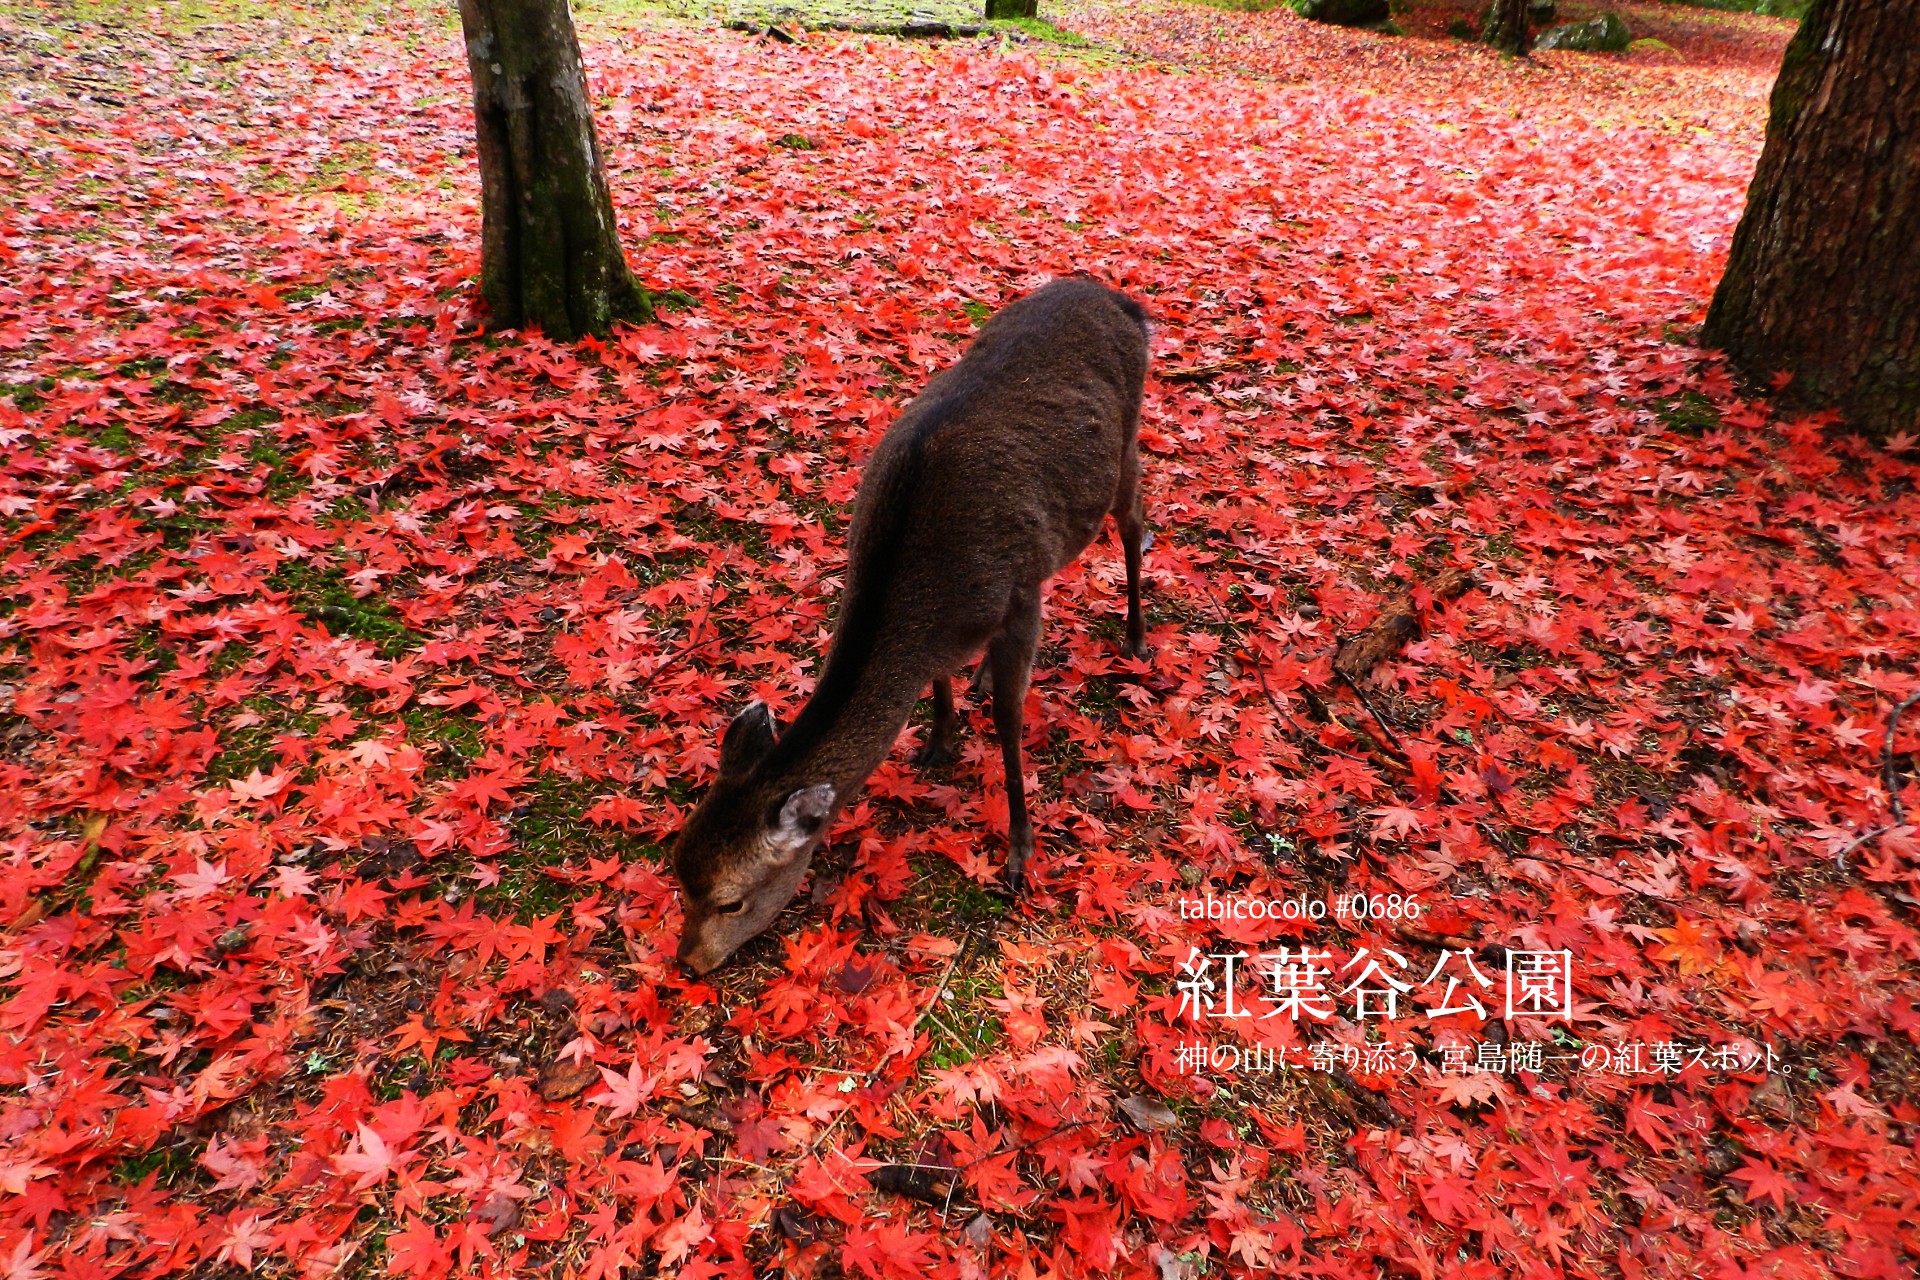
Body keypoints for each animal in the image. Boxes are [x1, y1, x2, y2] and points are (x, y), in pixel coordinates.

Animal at [675, 280, 1152, 974]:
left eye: (730, 900)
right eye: (677, 871)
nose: (684, 961)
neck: (931, 595)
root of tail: (1120, 298)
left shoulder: (1018, 596)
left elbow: (1010, 723)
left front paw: (1019, 853)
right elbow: (940, 679)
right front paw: (938, 741)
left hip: (1126, 449)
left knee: (1136, 525)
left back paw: (1137, 638)